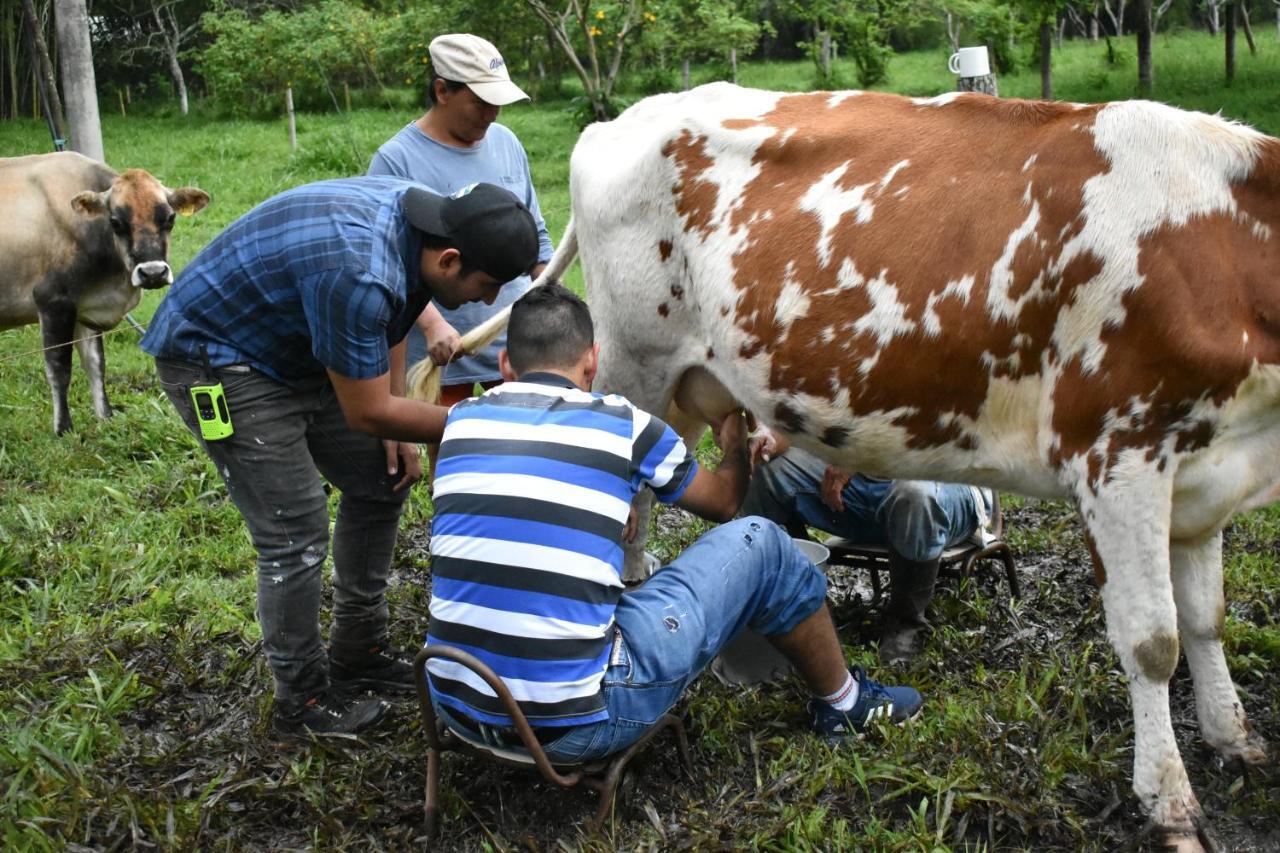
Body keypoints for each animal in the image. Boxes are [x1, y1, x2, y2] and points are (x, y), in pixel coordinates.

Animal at [0, 147, 208, 432]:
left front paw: (105, 417)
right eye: (116, 221)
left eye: (170, 217)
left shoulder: (85, 306)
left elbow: (96, 363)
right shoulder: (52, 300)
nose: (153, 272)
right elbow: (59, 369)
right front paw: (63, 429)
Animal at [412, 84, 1280, 845]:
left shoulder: (1204, 470)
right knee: (626, 511)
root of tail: (619, 119)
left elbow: (1206, 617)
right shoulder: (1115, 453)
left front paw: (1233, 737)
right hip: (632, 367)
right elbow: (1153, 640)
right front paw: (1168, 800)